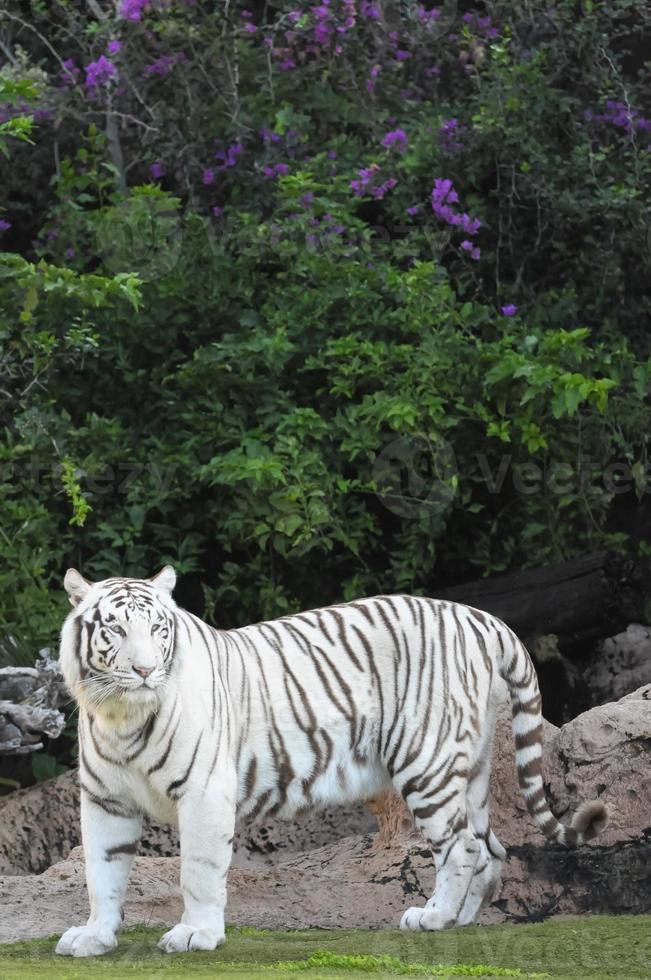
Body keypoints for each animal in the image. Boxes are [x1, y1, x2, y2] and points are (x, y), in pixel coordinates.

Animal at [54, 568, 608, 956]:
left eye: (157, 629)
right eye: (115, 630)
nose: (146, 670)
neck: (120, 716)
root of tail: (481, 617)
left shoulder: (204, 792)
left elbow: (199, 869)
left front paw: (196, 935)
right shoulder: (104, 800)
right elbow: (101, 872)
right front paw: (95, 938)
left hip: (427, 761)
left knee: (463, 847)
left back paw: (433, 917)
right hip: (469, 767)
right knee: (490, 847)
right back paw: (460, 918)